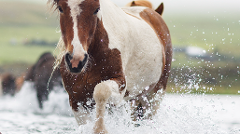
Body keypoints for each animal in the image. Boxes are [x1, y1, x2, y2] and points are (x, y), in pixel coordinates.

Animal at [47, 0, 172, 133]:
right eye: (60, 8)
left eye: (96, 9)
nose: (76, 60)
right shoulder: (76, 98)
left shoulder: (120, 85)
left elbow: (101, 90)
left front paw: (100, 129)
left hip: (155, 94)